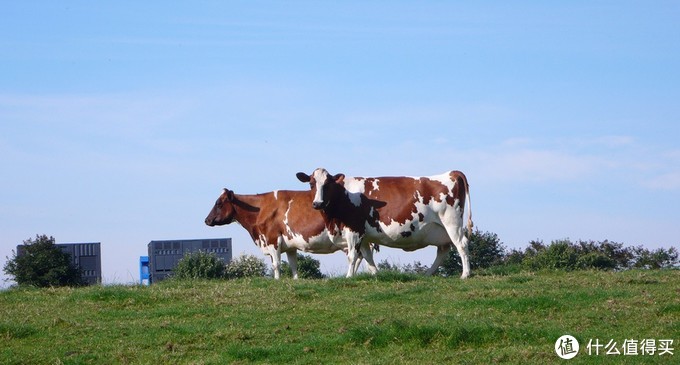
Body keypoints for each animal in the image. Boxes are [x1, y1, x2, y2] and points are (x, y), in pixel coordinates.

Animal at [205, 188, 380, 278]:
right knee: (363, 256)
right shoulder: (289, 245)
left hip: (354, 236)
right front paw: (296, 280)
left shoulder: (272, 240)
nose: (207, 220)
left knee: (357, 256)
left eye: (219, 203)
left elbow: (276, 265)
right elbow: (293, 265)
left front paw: (277, 281)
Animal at [298, 169, 472, 278]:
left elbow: (353, 256)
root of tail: (452, 172)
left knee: (461, 244)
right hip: (441, 229)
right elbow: (367, 257)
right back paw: (428, 274)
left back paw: (465, 274)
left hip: (452, 222)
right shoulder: (364, 236)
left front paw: (348, 276)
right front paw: (376, 274)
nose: (317, 203)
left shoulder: (354, 229)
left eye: (327, 184)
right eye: (311, 184)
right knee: (443, 250)